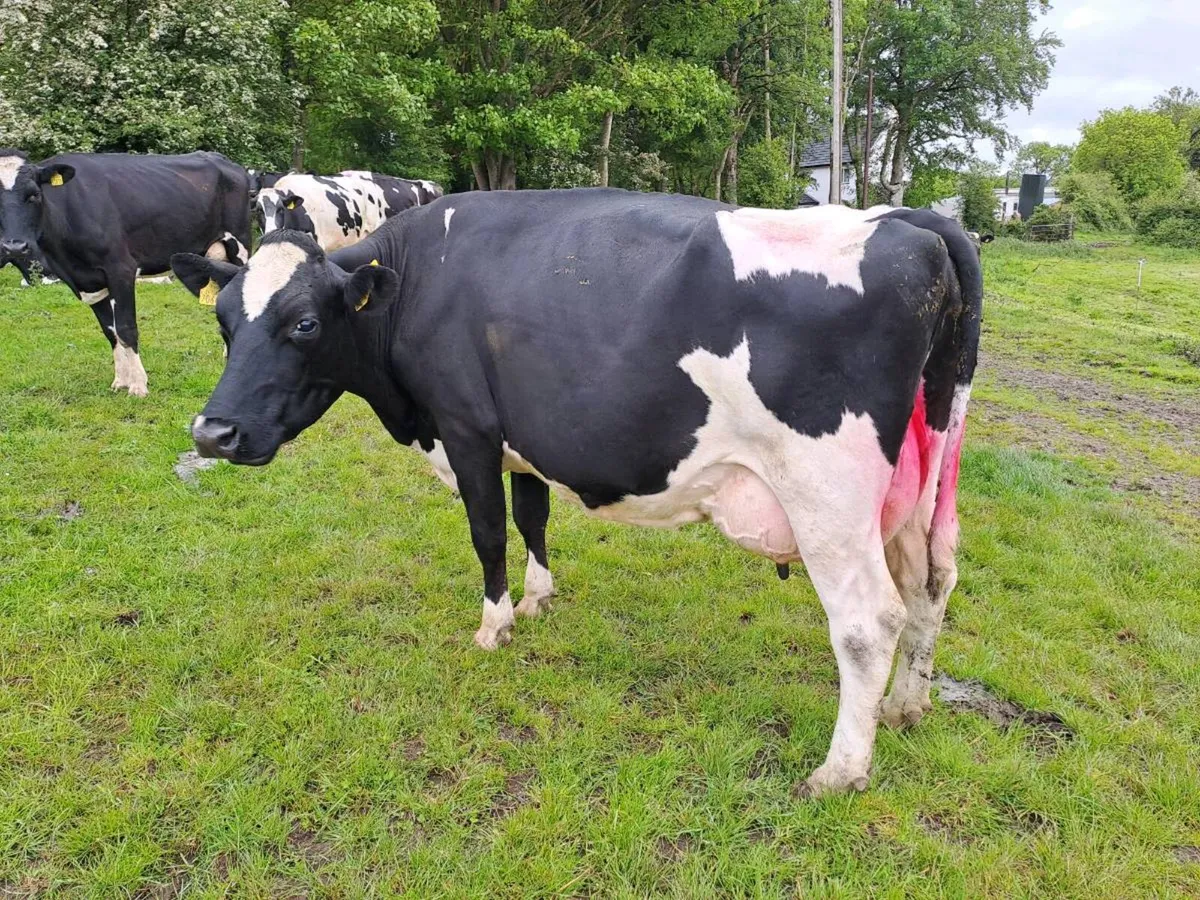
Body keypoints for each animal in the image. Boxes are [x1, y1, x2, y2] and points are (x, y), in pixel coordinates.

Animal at [0, 149, 250, 396]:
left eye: (34, 195)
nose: (14, 247)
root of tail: (221, 158)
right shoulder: (91, 283)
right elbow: (110, 331)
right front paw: (120, 380)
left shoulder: (120, 269)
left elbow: (126, 328)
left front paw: (138, 385)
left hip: (240, 246)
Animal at [170, 189, 982, 797]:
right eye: (223, 322)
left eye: (305, 324)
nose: (213, 432)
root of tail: (912, 221)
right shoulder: (523, 436)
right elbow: (532, 515)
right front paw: (538, 598)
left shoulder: (466, 428)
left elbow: (488, 531)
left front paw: (494, 626)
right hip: (920, 484)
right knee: (931, 583)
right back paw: (906, 707)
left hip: (828, 496)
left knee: (867, 620)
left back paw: (840, 771)